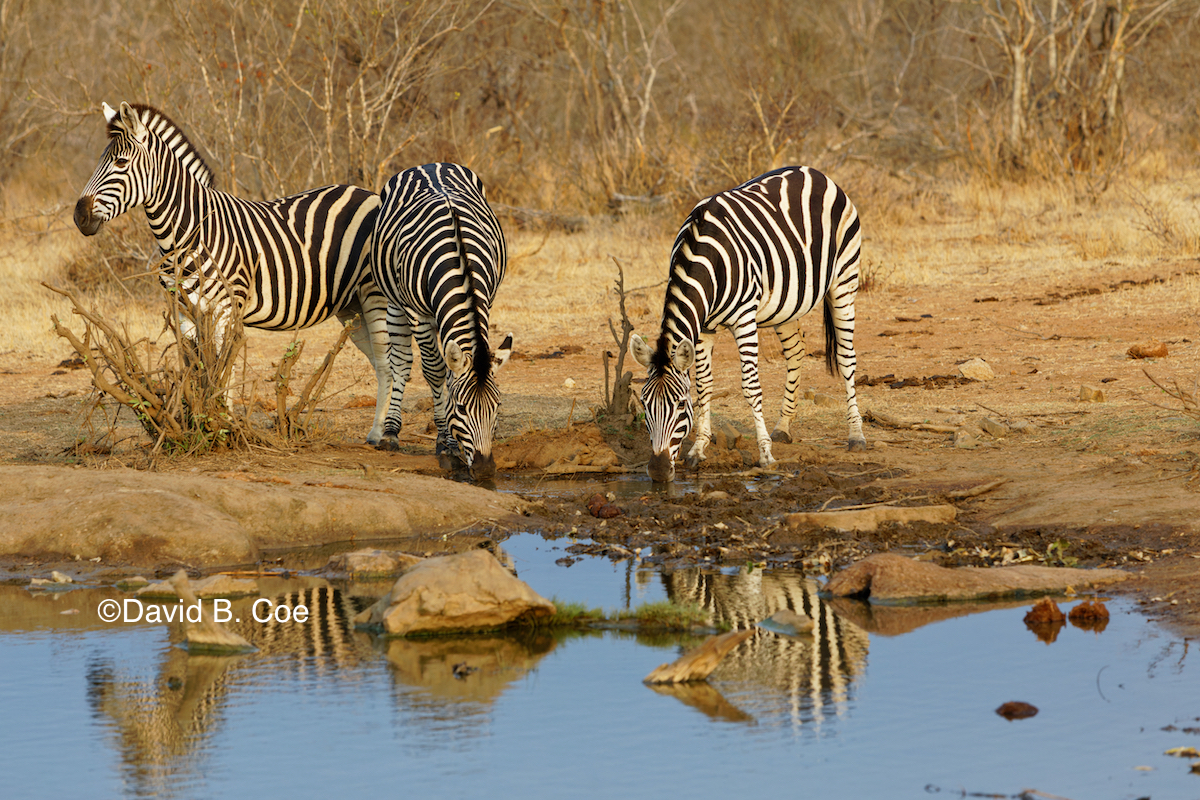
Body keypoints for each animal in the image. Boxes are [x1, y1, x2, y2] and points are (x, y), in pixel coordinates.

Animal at [72, 101, 391, 443]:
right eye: (100, 161)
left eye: (120, 162)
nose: (79, 216)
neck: (188, 232)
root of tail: (369, 193)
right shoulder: (183, 309)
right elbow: (196, 370)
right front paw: (200, 424)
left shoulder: (226, 308)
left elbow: (222, 374)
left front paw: (223, 429)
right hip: (351, 305)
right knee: (378, 360)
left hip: (375, 295)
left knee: (390, 360)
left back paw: (380, 435)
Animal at [369, 159, 511, 479]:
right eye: (460, 408)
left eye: (497, 406)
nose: (485, 470)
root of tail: (430, 164)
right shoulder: (417, 314)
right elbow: (434, 372)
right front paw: (445, 444)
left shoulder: (486, 301)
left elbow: (449, 374)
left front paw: (447, 442)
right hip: (394, 301)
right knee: (402, 362)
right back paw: (391, 432)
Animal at [628, 165, 864, 482]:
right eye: (644, 404)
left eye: (679, 405)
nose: (658, 471)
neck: (706, 256)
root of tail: (814, 172)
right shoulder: (704, 327)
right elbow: (704, 385)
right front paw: (698, 449)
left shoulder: (743, 318)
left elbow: (751, 386)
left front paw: (765, 455)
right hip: (786, 303)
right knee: (796, 351)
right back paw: (783, 427)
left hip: (844, 279)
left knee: (846, 357)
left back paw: (856, 435)